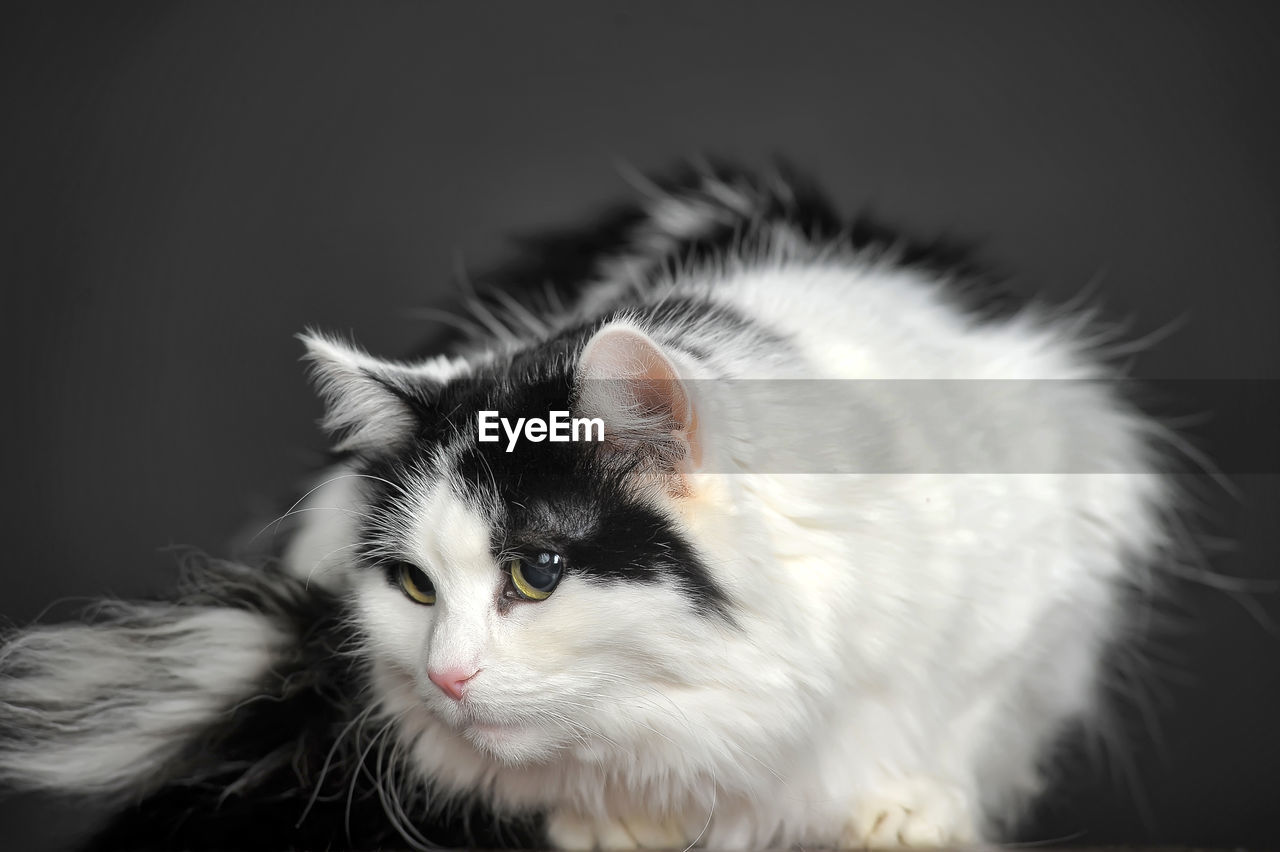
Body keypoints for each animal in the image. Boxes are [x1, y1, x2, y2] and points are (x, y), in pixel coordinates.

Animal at [0, 162, 1177, 844]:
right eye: (414, 585)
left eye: (536, 573)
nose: (445, 675)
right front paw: (614, 825)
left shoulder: (1058, 547)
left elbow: (969, 711)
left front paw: (902, 808)